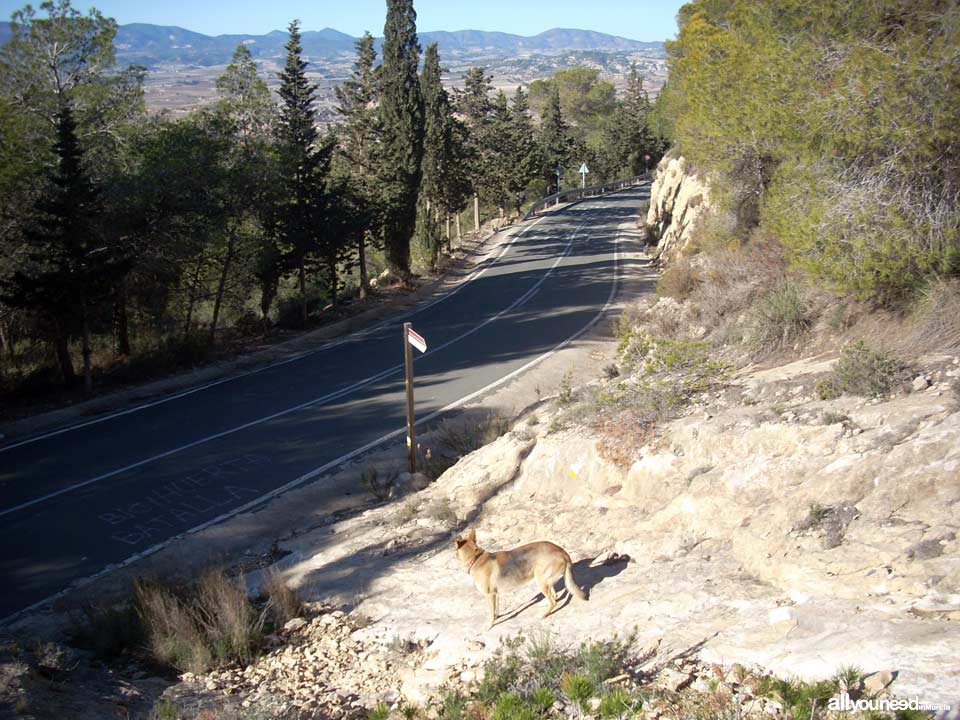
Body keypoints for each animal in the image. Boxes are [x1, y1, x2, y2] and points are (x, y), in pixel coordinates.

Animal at [456, 524, 588, 628]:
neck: (475, 558)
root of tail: (562, 552)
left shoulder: (490, 595)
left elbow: (491, 614)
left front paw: (489, 626)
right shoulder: (495, 594)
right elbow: (495, 611)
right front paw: (497, 617)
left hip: (540, 581)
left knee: (553, 601)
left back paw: (544, 614)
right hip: (544, 580)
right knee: (554, 596)